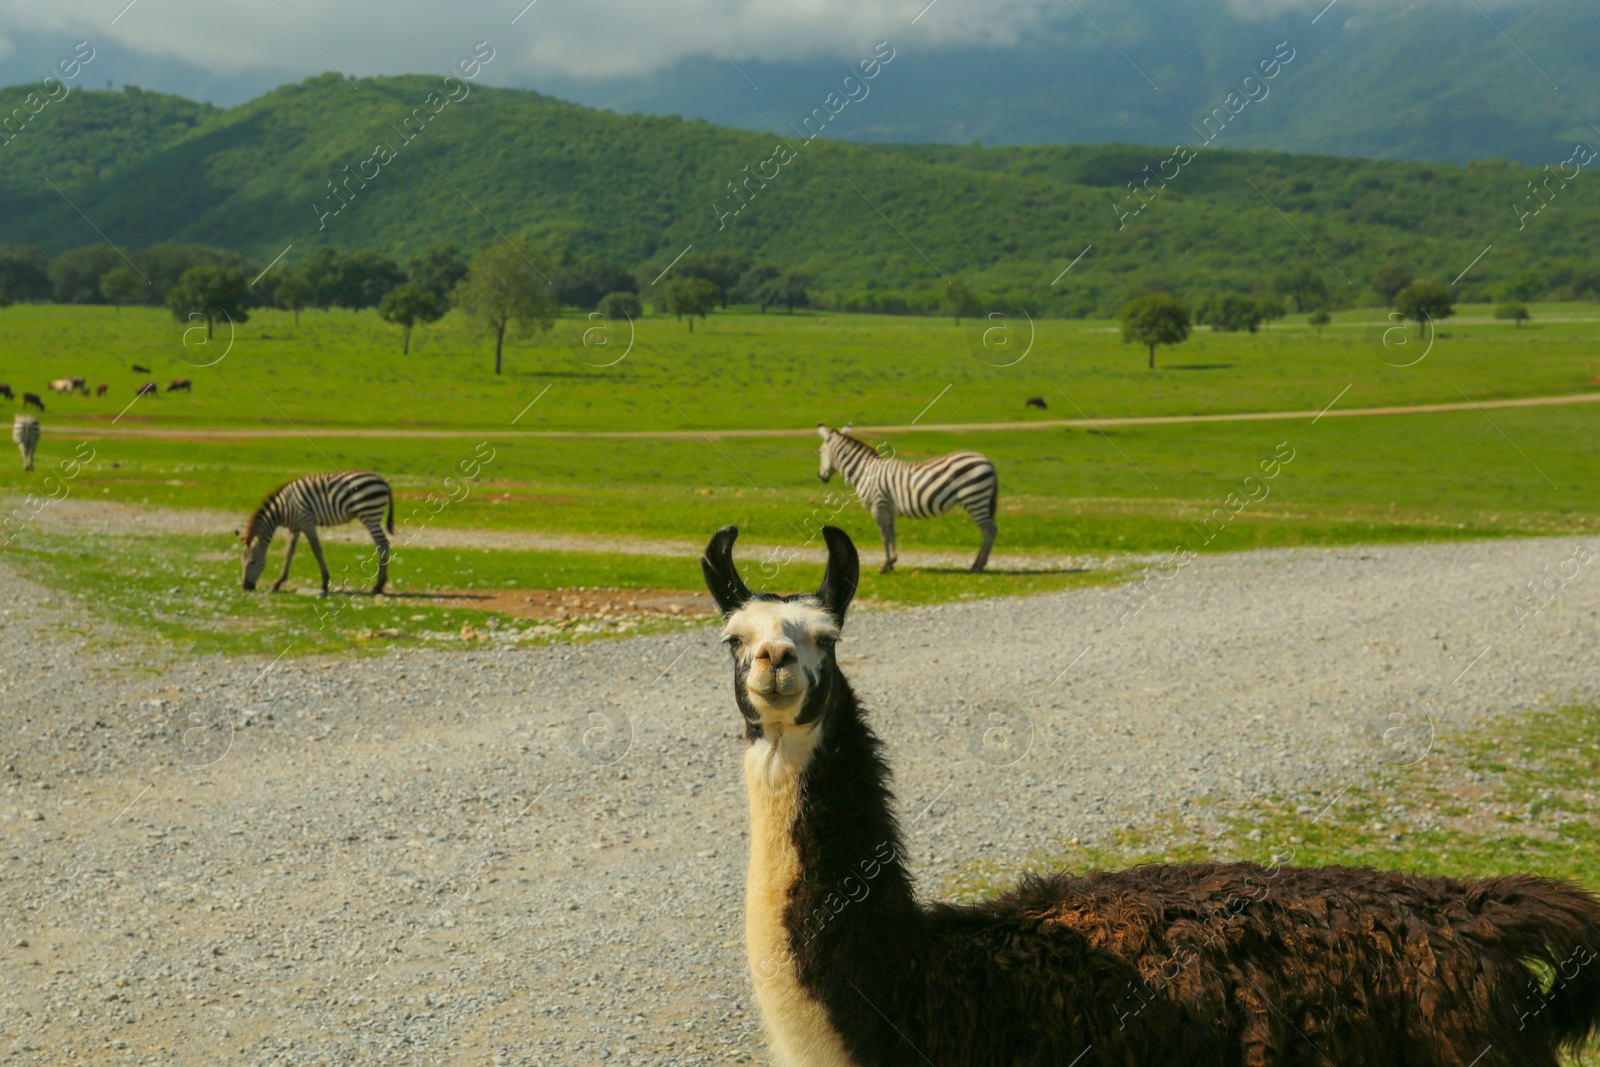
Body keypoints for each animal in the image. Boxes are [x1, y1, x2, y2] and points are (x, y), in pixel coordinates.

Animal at [240, 470, 396, 598]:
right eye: (242, 561)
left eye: (252, 562)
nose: (245, 587)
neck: (283, 508)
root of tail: (382, 481)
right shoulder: (295, 527)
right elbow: (289, 552)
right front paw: (278, 582)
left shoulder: (306, 521)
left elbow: (317, 550)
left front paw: (325, 583)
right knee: (383, 544)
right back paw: (380, 585)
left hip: (369, 514)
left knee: (383, 544)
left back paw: (379, 586)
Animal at [819, 425, 992, 575]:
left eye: (820, 451)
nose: (821, 477)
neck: (866, 472)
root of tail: (986, 459)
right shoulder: (888, 509)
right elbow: (892, 534)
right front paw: (892, 562)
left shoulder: (878, 506)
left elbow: (885, 535)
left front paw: (884, 565)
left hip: (975, 498)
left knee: (989, 531)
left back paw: (977, 566)